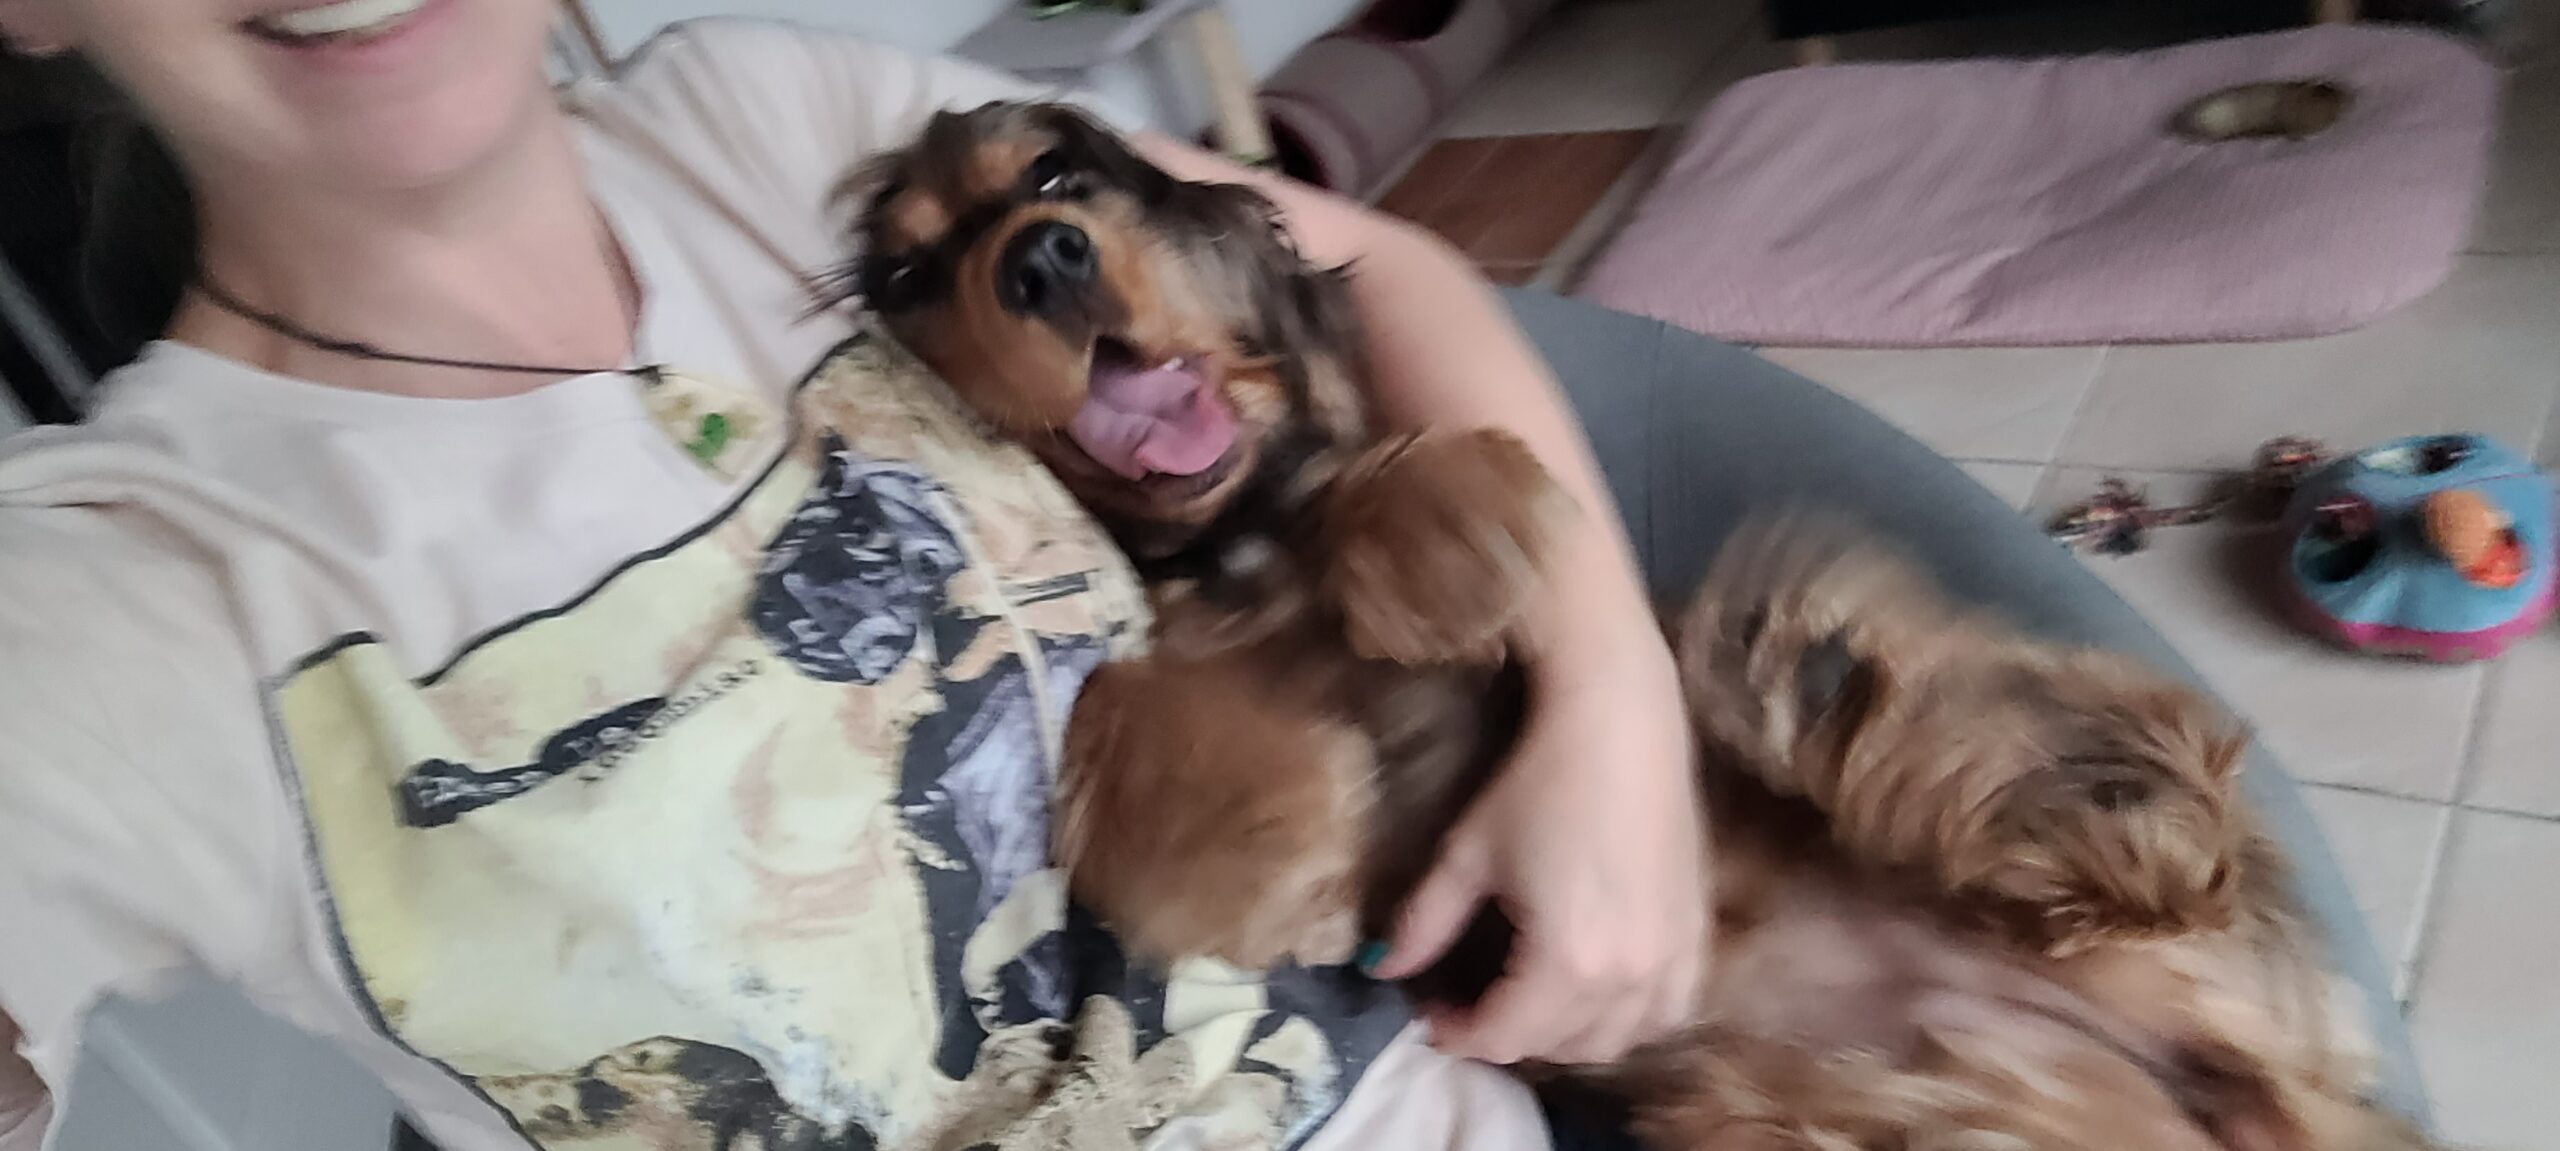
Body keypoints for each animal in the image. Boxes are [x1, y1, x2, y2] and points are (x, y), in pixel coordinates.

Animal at [839, 103, 2437, 1151]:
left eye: (1060, 171)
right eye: (913, 276)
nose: (1038, 261)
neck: (1250, 539)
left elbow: (1394, 479)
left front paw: (1444, 525)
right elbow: (1139, 703)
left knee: (2158, 813)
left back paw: (1913, 712)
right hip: (1869, 1112)